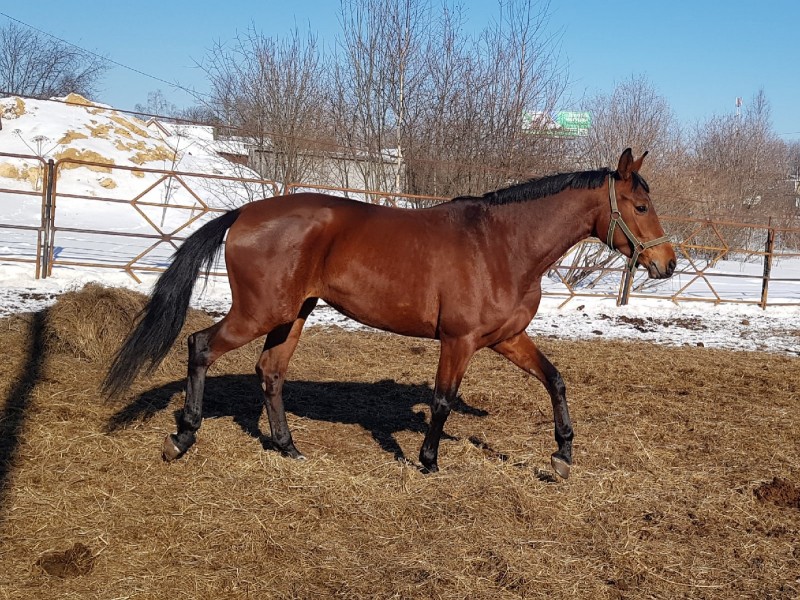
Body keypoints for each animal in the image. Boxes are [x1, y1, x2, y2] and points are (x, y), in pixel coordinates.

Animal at [100, 149, 676, 478]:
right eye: (641, 207)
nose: (667, 264)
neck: (500, 245)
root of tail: (245, 212)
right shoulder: (459, 341)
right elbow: (443, 401)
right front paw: (428, 462)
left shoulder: (505, 338)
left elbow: (555, 380)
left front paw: (561, 457)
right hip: (260, 313)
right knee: (200, 346)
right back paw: (183, 437)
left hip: (293, 315)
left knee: (270, 373)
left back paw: (289, 449)